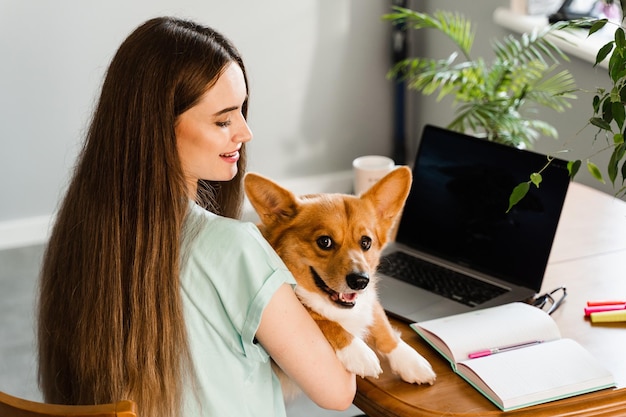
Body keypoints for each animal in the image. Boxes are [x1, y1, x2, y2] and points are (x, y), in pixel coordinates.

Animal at [244, 164, 434, 394]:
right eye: (324, 241)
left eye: (366, 242)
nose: (361, 281)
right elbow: (322, 319)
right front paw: (358, 351)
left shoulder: (368, 301)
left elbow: (383, 326)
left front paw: (410, 361)